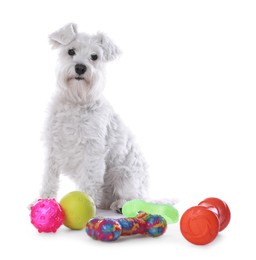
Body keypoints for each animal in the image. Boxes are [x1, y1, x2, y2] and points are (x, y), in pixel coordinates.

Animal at [39, 23, 149, 212]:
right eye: (71, 51)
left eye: (94, 56)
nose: (80, 68)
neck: (77, 101)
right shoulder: (53, 146)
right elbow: (49, 177)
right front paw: (43, 202)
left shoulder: (92, 151)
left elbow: (90, 180)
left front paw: (87, 203)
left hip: (124, 174)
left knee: (135, 198)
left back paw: (120, 204)